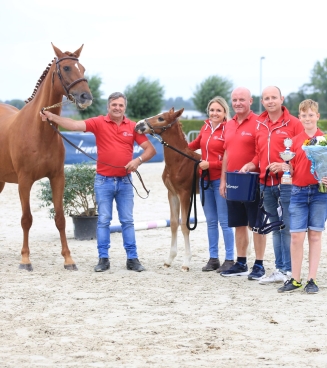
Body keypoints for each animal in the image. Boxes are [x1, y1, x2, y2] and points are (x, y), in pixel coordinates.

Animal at [0, 44, 93, 272]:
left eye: (83, 68)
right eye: (66, 68)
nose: (86, 97)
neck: (39, 129)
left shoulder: (57, 177)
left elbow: (60, 218)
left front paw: (68, 259)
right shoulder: (24, 181)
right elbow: (26, 219)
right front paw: (25, 260)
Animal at [135, 107, 201, 270]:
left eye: (161, 118)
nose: (138, 125)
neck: (180, 161)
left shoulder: (185, 194)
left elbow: (184, 225)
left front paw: (186, 262)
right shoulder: (172, 194)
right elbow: (174, 223)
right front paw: (169, 259)